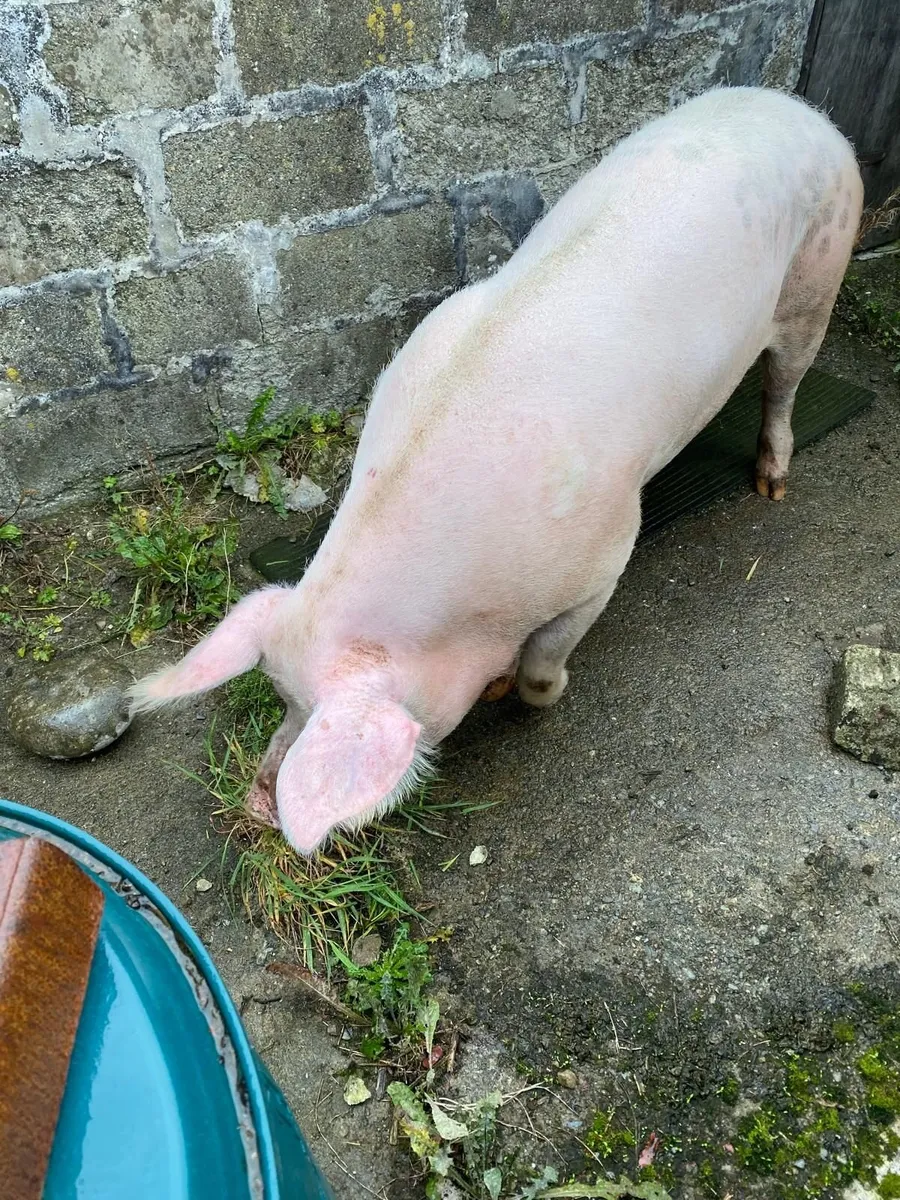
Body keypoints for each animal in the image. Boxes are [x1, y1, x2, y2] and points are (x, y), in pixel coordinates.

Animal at [131, 86, 863, 855]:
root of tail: (803, 113)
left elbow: (546, 657)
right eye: (280, 700)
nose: (257, 805)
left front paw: (534, 696)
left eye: (307, 710)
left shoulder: (604, 556)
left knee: (784, 381)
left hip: (818, 276)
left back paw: (771, 485)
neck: (466, 608)